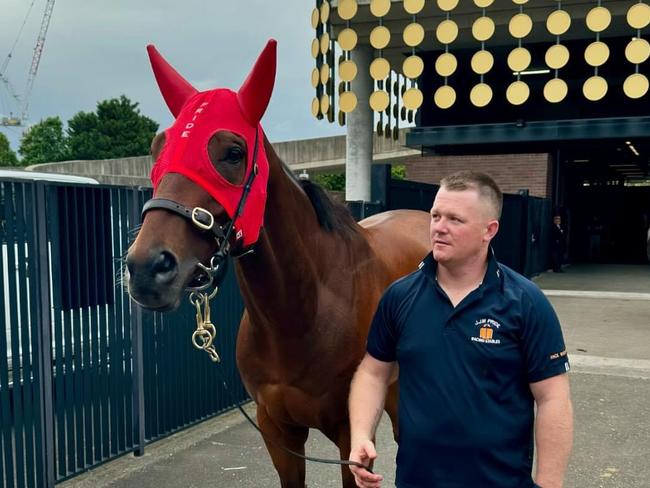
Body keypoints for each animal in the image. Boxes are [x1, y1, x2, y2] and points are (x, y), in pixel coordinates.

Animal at [126, 40, 430, 486]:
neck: (307, 314)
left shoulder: (350, 437)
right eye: (156, 149)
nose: (148, 267)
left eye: (234, 152)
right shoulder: (278, 431)